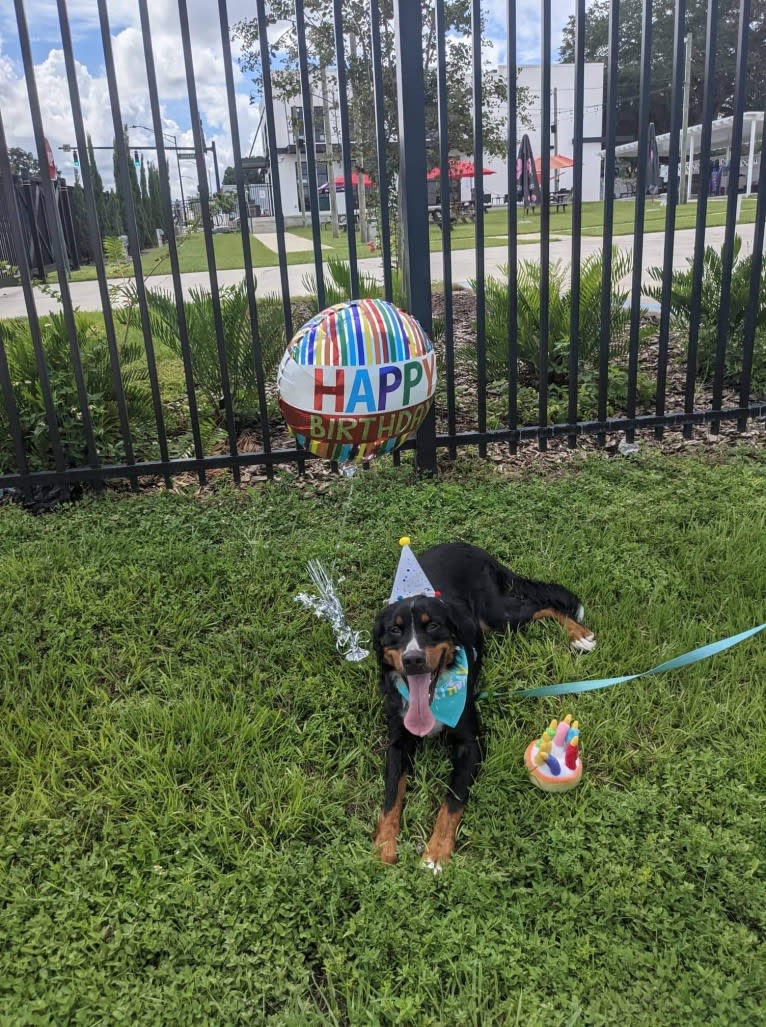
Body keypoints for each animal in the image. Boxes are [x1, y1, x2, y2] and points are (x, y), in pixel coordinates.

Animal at [373, 542, 595, 870]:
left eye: (433, 625)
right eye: (395, 630)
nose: (413, 660)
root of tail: (468, 546)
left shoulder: (471, 744)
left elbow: (452, 800)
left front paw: (436, 854)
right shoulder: (398, 744)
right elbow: (391, 796)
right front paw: (384, 847)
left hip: (499, 614)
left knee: (540, 606)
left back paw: (578, 634)